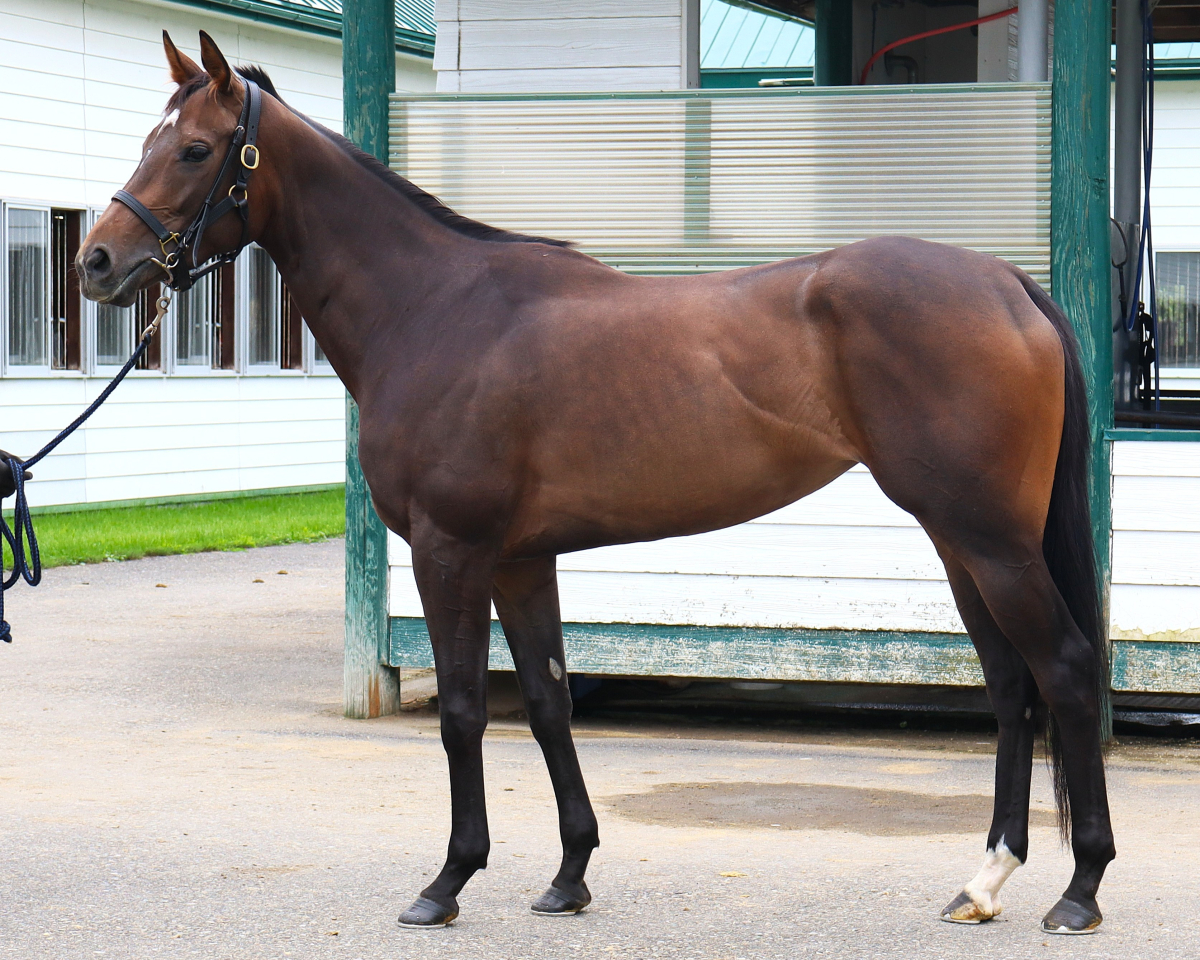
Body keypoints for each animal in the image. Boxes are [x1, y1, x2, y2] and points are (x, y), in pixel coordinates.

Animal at [75, 31, 1115, 935]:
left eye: (196, 149)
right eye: (148, 141)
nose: (96, 262)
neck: (433, 308)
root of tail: (1006, 283)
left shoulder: (450, 552)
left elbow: (462, 712)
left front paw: (447, 882)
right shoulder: (522, 561)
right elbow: (548, 703)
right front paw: (569, 875)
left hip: (989, 540)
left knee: (1063, 668)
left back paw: (1080, 891)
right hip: (962, 543)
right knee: (1011, 683)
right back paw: (984, 881)